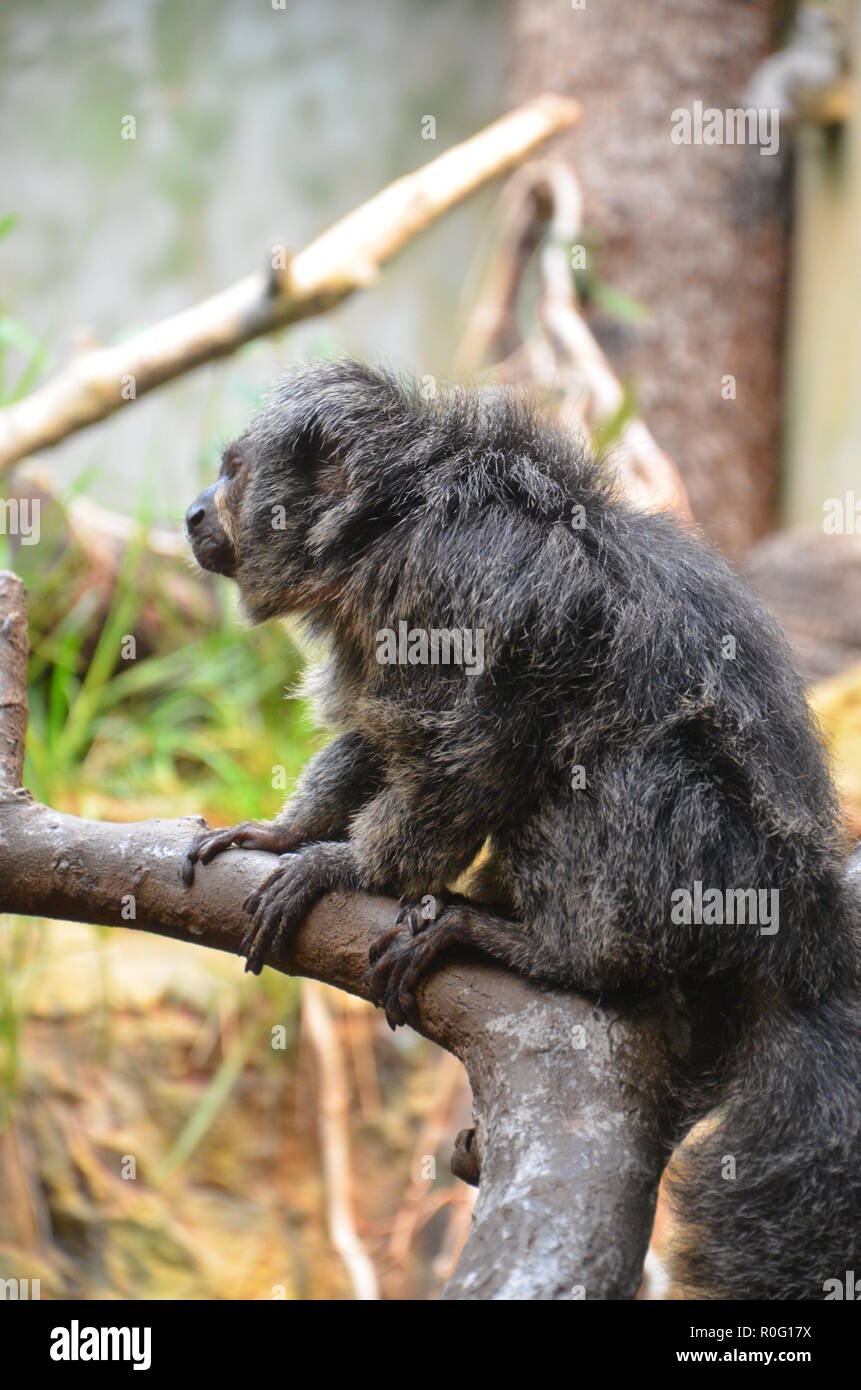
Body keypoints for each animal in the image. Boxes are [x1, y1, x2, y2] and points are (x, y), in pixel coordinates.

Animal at [181, 359, 861, 1300]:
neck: (391, 526)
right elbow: (375, 737)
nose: (193, 513)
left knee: (609, 768)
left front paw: (346, 869)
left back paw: (555, 952)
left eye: (233, 473)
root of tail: (803, 932)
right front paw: (291, 835)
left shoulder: (455, 582)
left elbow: (476, 749)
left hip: (711, 868)